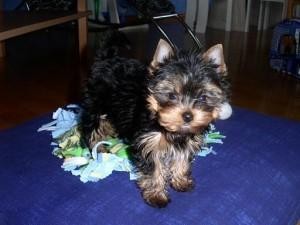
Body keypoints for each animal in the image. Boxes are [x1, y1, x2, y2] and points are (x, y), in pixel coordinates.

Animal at [79, 38, 230, 207]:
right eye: (171, 95)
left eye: (203, 97)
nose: (188, 116)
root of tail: (106, 59)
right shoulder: (148, 143)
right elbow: (154, 169)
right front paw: (156, 195)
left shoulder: (186, 142)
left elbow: (182, 158)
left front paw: (181, 180)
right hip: (95, 102)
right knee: (91, 126)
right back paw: (98, 148)